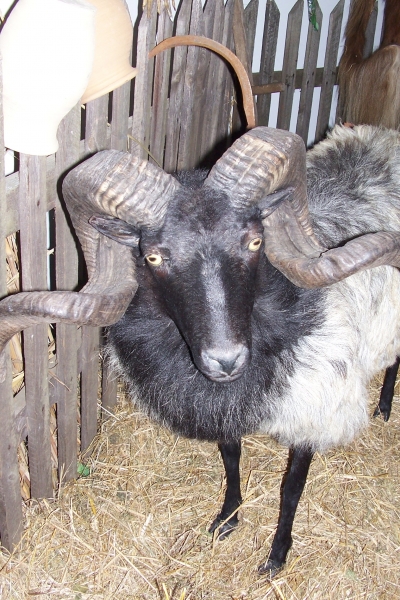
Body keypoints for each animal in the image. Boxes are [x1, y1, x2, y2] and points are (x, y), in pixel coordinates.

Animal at [83, 123, 400, 577]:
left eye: (254, 243)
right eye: (153, 257)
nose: (226, 359)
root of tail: (384, 135)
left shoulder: (316, 411)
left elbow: (291, 488)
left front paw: (277, 555)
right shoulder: (225, 409)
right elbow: (231, 458)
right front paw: (227, 518)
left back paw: (385, 406)